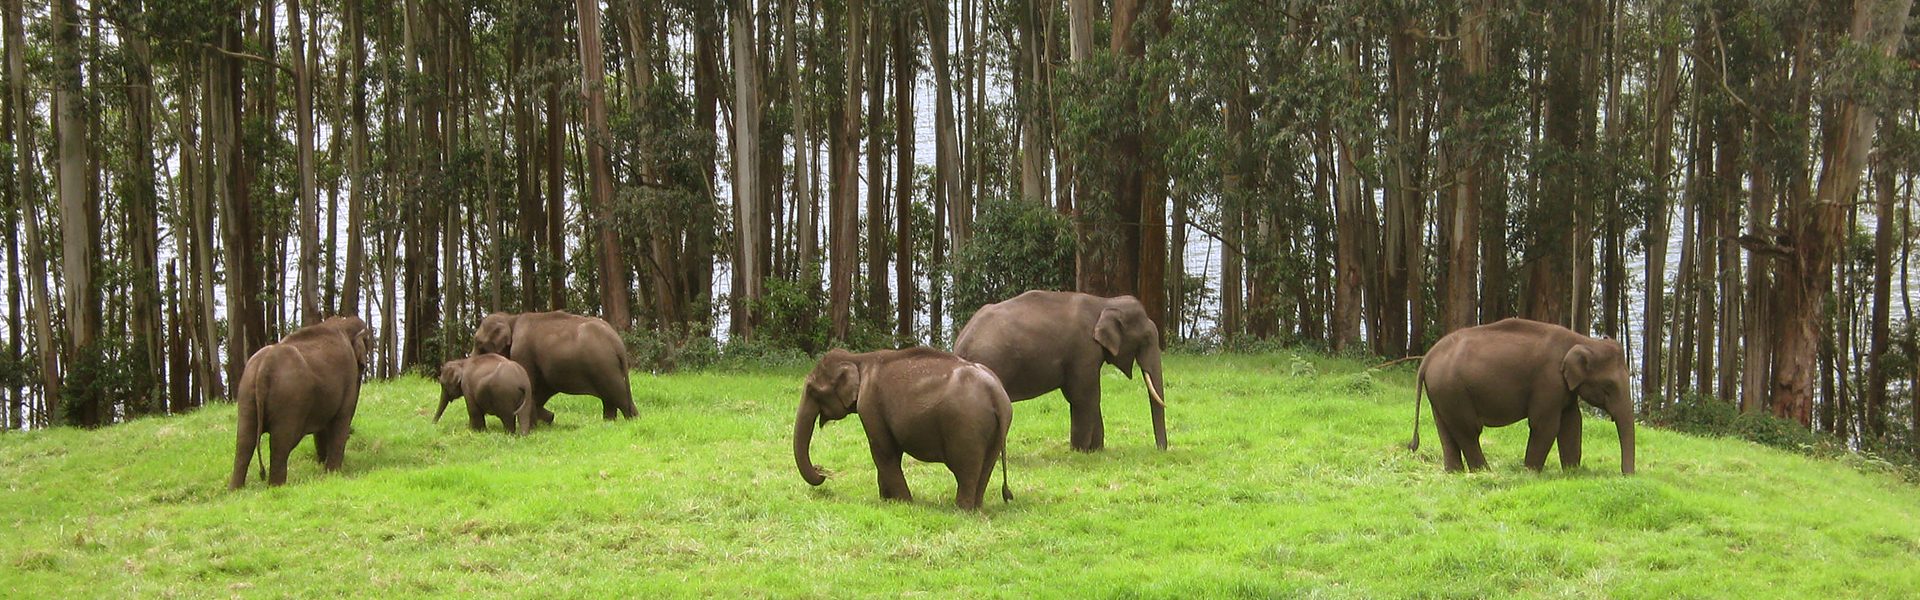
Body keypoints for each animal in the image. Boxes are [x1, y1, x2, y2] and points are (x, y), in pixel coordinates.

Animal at [230, 317, 372, 490]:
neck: (342, 323)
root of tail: (264, 366)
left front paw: (323, 466)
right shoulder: (349, 377)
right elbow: (342, 419)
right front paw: (333, 474)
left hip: (246, 394)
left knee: (244, 442)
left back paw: (236, 490)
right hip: (289, 400)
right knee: (280, 444)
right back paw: (277, 487)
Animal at [472, 311, 637, 425]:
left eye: (478, 343)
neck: (511, 318)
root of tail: (616, 341)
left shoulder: (522, 352)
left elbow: (531, 385)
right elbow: (539, 390)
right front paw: (548, 418)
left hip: (603, 364)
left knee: (617, 394)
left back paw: (632, 420)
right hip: (606, 366)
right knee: (609, 398)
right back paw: (609, 422)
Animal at [791, 346, 1013, 511]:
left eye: (812, 390)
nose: (821, 471)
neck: (858, 359)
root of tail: (995, 392)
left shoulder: (869, 405)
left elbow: (882, 451)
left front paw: (903, 503)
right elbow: (890, 452)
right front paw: (887, 500)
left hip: (965, 425)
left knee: (966, 468)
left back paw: (962, 510)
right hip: (995, 431)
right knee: (985, 468)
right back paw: (976, 508)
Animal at [952, 290, 1159, 450]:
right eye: (1146, 339)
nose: (1160, 449)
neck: (1104, 302)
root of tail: (961, 343)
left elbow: (1084, 397)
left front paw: (1095, 451)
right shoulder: (1083, 351)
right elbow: (1085, 396)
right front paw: (1081, 451)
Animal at [1405, 317, 1643, 475]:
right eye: (1609, 386)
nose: (1627, 475)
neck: (1583, 340)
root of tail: (1428, 357)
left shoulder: (1564, 389)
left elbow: (1572, 423)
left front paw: (1572, 472)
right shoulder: (1548, 382)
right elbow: (1545, 425)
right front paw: (1531, 472)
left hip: (1441, 393)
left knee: (1446, 430)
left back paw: (1455, 472)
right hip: (1453, 390)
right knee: (1469, 431)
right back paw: (1485, 471)